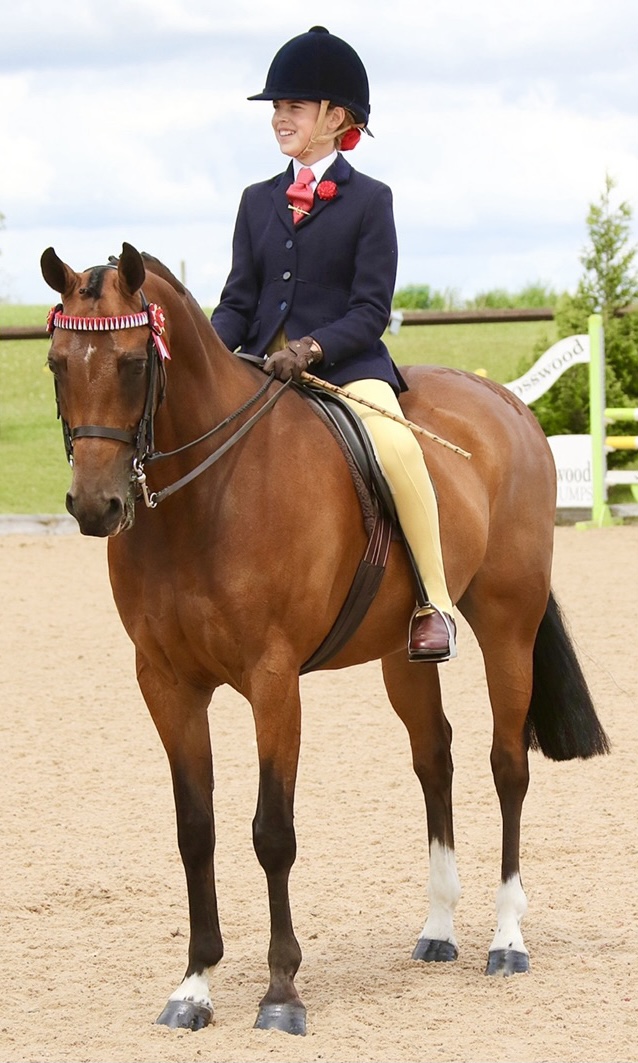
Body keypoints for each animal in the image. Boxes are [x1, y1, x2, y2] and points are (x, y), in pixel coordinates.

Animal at [40, 241, 609, 1036]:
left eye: (130, 362)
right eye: (57, 362)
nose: (96, 507)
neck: (205, 499)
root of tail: (508, 405)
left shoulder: (273, 679)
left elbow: (272, 831)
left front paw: (281, 992)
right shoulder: (165, 682)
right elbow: (195, 828)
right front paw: (194, 986)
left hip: (509, 624)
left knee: (507, 766)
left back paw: (507, 939)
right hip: (405, 654)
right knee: (435, 759)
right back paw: (439, 929)